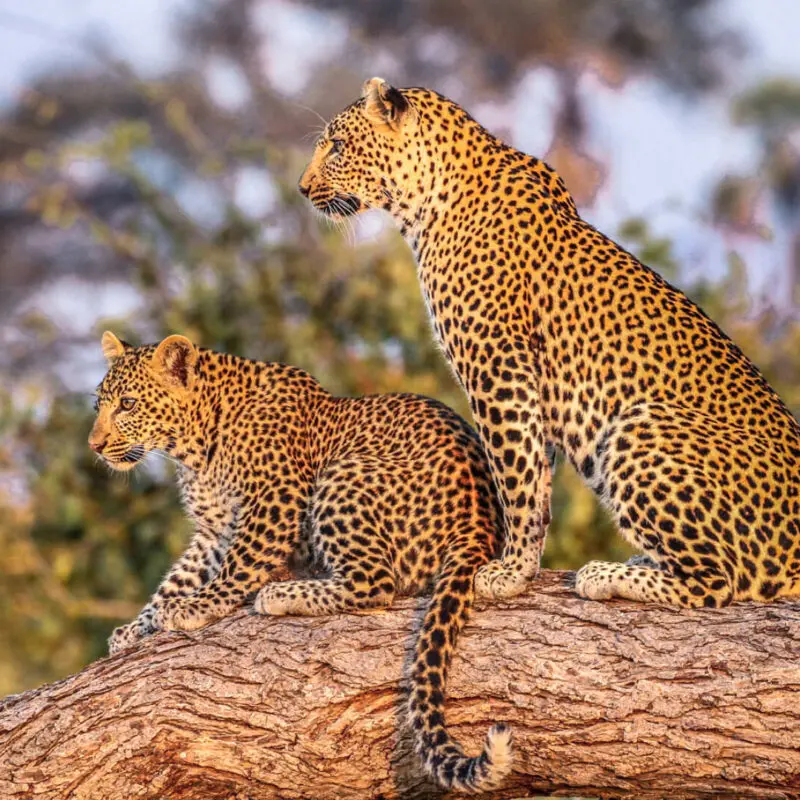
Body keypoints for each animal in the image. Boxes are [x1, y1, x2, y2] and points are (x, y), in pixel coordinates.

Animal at [89, 328, 512, 792]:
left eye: (128, 404)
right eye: (98, 405)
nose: (95, 445)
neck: (194, 447)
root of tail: (479, 525)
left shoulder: (275, 498)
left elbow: (237, 565)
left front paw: (194, 608)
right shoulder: (213, 532)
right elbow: (177, 579)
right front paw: (137, 627)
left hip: (345, 474)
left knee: (375, 582)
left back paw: (282, 594)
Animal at [296, 79, 800, 608]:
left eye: (336, 146)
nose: (303, 188)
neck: (426, 202)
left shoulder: (497, 369)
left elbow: (515, 478)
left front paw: (510, 571)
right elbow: (535, 476)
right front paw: (522, 566)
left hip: (640, 424)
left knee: (716, 582)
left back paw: (605, 574)